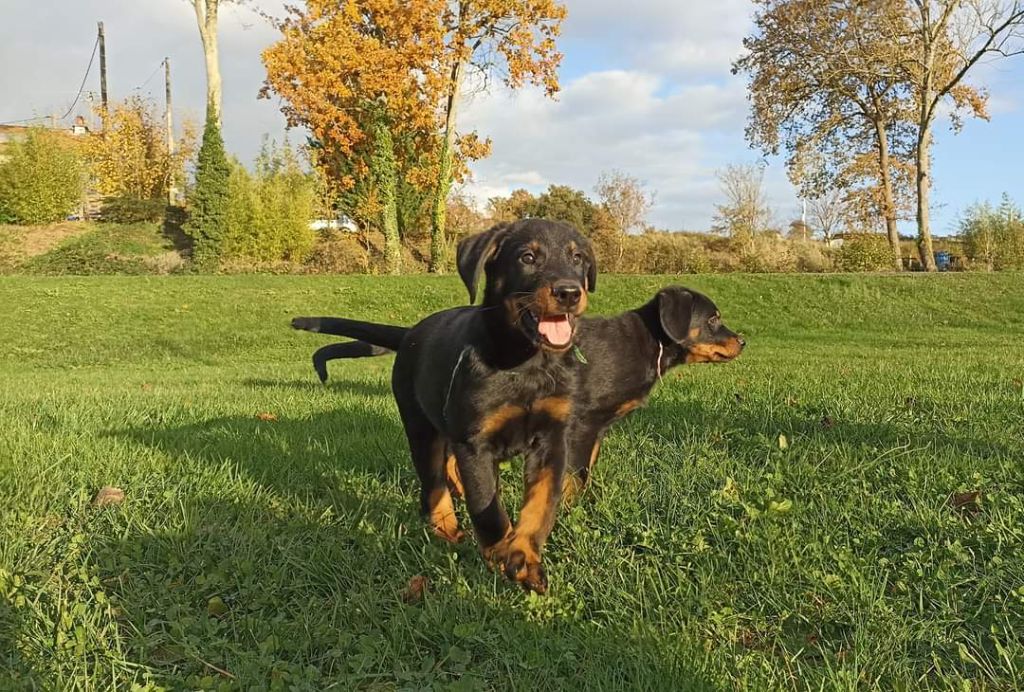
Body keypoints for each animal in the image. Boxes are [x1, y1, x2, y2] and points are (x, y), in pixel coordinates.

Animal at [292, 284, 741, 505]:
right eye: (713, 319)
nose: (743, 342)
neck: (648, 343)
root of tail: (413, 335)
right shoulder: (582, 424)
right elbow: (576, 475)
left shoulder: (594, 430)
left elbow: (587, 470)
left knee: (451, 458)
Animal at [294, 219, 598, 593]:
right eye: (527, 257)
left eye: (578, 258)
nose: (569, 292)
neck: (527, 364)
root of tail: (410, 333)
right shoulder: (476, 441)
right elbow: (488, 508)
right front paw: (501, 552)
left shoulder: (552, 438)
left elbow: (541, 504)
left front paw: (524, 557)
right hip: (420, 425)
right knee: (433, 484)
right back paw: (446, 527)